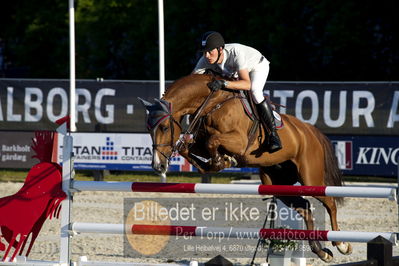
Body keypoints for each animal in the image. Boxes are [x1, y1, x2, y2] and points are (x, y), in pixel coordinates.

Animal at [139, 73, 352, 262]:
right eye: (148, 129)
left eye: (164, 127)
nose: (158, 165)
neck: (211, 103)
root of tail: (309, 130)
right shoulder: (198, 143)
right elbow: (189, 148)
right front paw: (218, 162)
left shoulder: (239, 141)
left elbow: (213, 141)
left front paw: (224, 160)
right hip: (278, 183)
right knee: (305, 207)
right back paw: (322, 252)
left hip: (310, 178)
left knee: (329, 202)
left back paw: (341, 244)